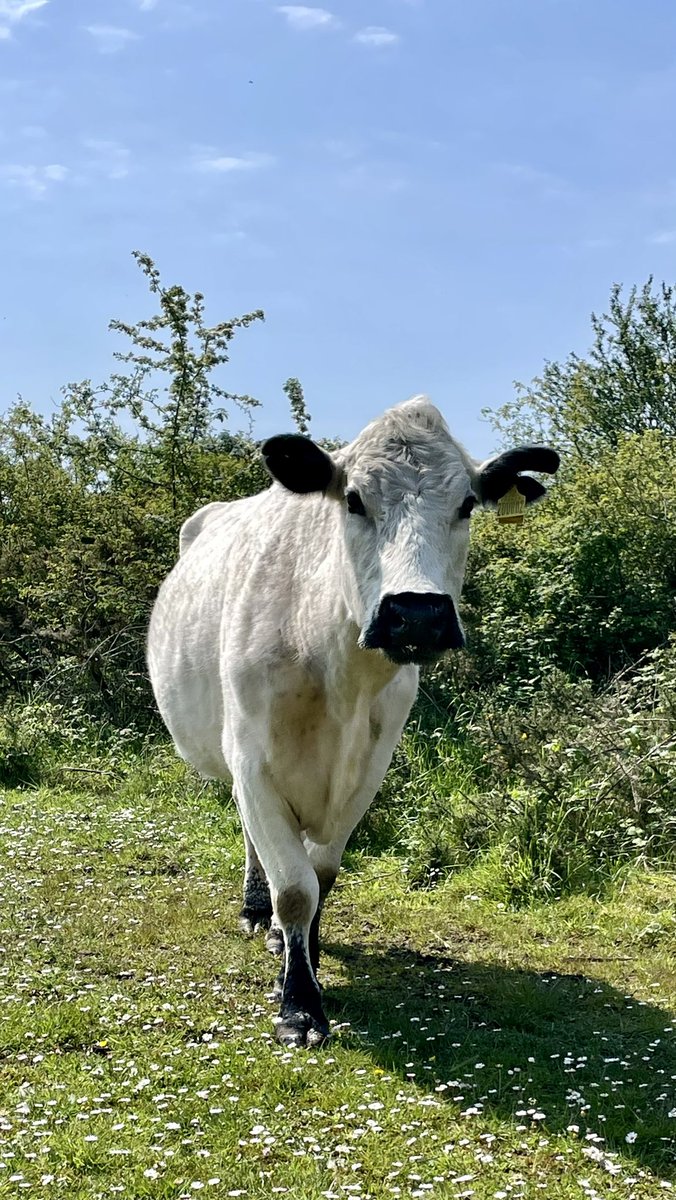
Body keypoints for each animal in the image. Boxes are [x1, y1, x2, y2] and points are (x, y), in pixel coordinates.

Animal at [148, 398, 561, 1046]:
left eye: (467, 504)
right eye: (354, 500)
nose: (416, 613)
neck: (337, 671)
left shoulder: (368, 769)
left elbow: (321, 876)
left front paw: (306, 961)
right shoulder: (254, 762)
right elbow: (295, 889)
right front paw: (299, 1005)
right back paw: (255, 909)